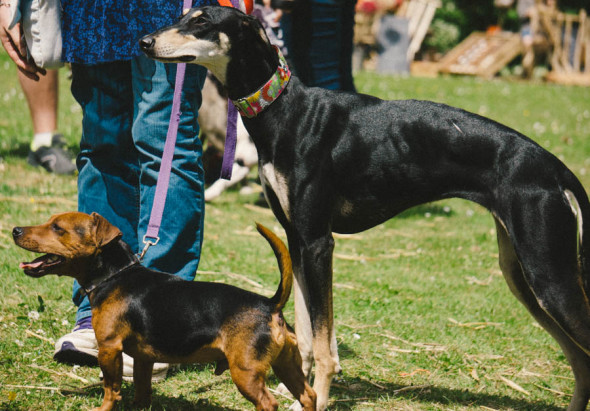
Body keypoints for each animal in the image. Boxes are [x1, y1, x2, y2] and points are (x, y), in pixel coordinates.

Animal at [11, 212, 316, 411]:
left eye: (57, 228)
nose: (15, 230)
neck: (115, 275)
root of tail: (270, 304)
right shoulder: (143, 358)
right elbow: (142, 389)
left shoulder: (108, 349)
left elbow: (111, 388)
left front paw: (104, 408)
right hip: (288, 367)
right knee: (309, 396)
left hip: (246, 373)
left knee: (269, 403)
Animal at [142, 5, 590, 408]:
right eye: (183, 16)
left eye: (201, 21)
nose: (145, 42)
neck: (285, 110)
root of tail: (555, 168)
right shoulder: (296, 240)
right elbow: (306, 334)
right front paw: (298, 393)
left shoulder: (318, 243)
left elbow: (325, 344)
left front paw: (319, 400)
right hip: (523, 274)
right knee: (578, 358)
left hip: (549, 273)